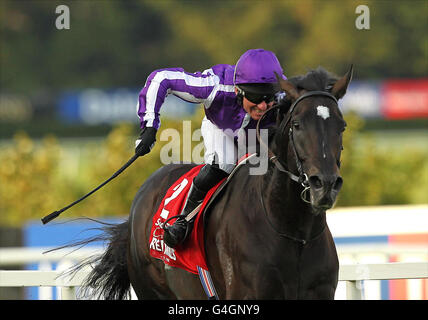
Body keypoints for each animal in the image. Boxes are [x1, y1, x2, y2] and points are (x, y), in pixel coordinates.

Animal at [75, 65, 352, 300]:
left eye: (342, 126)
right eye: (297, 124)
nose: (324, 185)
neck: (293, 232)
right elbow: (163, 77)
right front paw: (147, 135)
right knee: (217, 166)